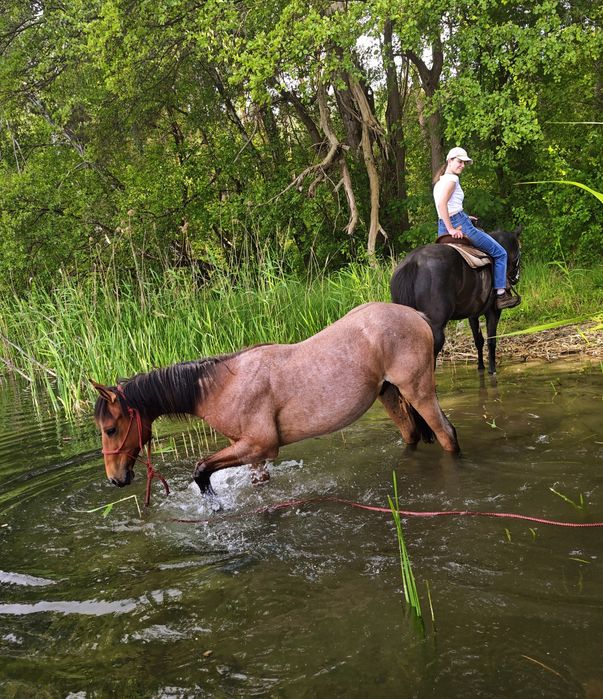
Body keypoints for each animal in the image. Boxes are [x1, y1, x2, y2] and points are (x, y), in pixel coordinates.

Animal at [92, 302, 460, 500]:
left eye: (111, 429)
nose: (114, 478)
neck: (224, 386)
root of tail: (415, 315)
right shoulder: (251, 453)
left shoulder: (260, 445)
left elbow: (200, 470)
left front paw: (213, 503)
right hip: (389, 393)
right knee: (411, 434)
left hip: (418, 390)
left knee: (446, 435)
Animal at [390, 227, 521, 374]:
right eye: (519, 250)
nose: (516, 278)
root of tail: (413, 262)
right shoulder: (493, 311)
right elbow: (491, 341)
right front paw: (492, 370)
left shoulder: (473, 315)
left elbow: (479, 340)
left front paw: (481, 367)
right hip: (435, 328)